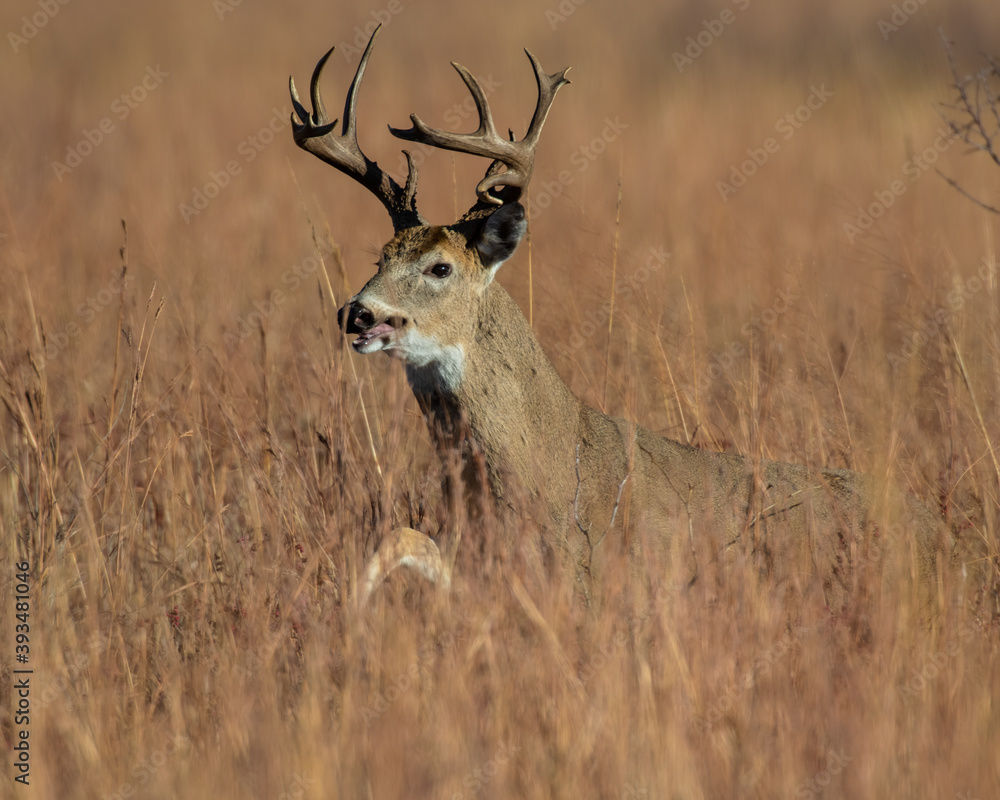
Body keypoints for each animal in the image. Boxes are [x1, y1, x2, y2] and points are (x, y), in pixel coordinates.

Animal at [289, 25, 942, 608]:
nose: (357, 313)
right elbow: (403, 538)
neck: (545, 468)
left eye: (440, 267)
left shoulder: (586, 572)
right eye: (379, 258)